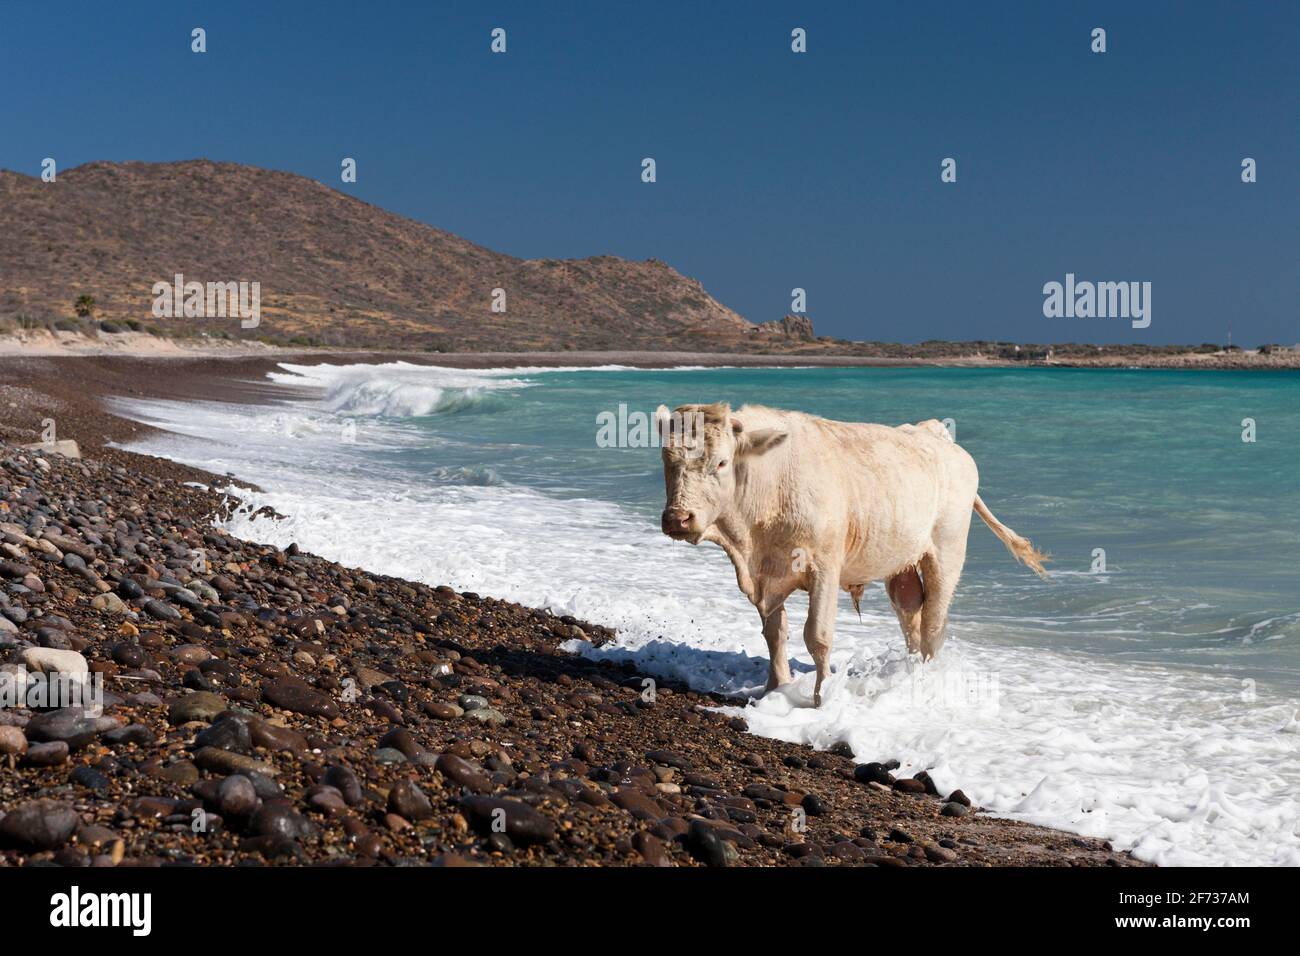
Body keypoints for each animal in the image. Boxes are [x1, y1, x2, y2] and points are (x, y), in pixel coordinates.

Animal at [660, 400, 1045, 707]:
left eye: (721, 463)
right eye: (668, 461)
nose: (678, 518)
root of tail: (936, 436)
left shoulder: (824, 566)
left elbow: (817, 635)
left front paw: (821, 698)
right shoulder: (764, 573)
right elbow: (775, 633)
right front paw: (776, 688)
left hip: (947, 551)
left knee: (934, 622)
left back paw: (927, 680)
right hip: (900, 559)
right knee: (911, 611)